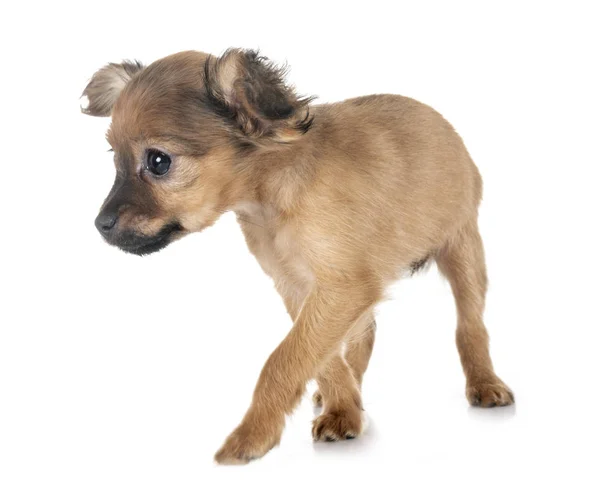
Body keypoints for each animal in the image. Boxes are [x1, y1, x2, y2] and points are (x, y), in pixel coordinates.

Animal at [82, 49, 512, 464]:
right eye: (114, 158)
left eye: (158, 162)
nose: (99, 225)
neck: (274, 196)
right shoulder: (301, 287)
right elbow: (318, 356)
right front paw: (343, 410)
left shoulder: (341, 287)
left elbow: (284, 358)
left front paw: (252, 435)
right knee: (365, 333)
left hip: (463, 248)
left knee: (470, 324)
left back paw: (485, 383)